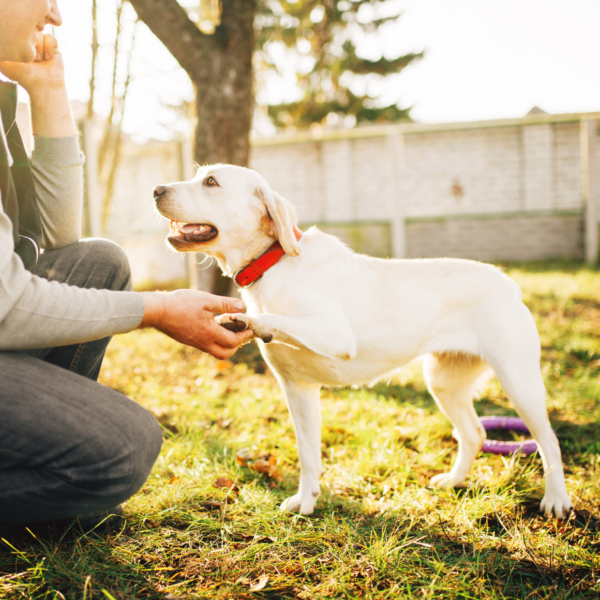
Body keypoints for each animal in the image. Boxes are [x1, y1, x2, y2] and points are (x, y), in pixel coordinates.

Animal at [154, 163, 572, 516]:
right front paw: (306, 502)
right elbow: (308, 455)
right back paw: (453, 481)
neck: (274, 263)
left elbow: (275, 318)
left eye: (211, 182)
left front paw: (248, 320)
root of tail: (507, 282)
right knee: (474, 433)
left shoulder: (335, 333)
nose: (156, 189)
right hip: (443, 383)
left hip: (519, 383)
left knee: (549, 441)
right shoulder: (298, 390)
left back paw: (556, 501)